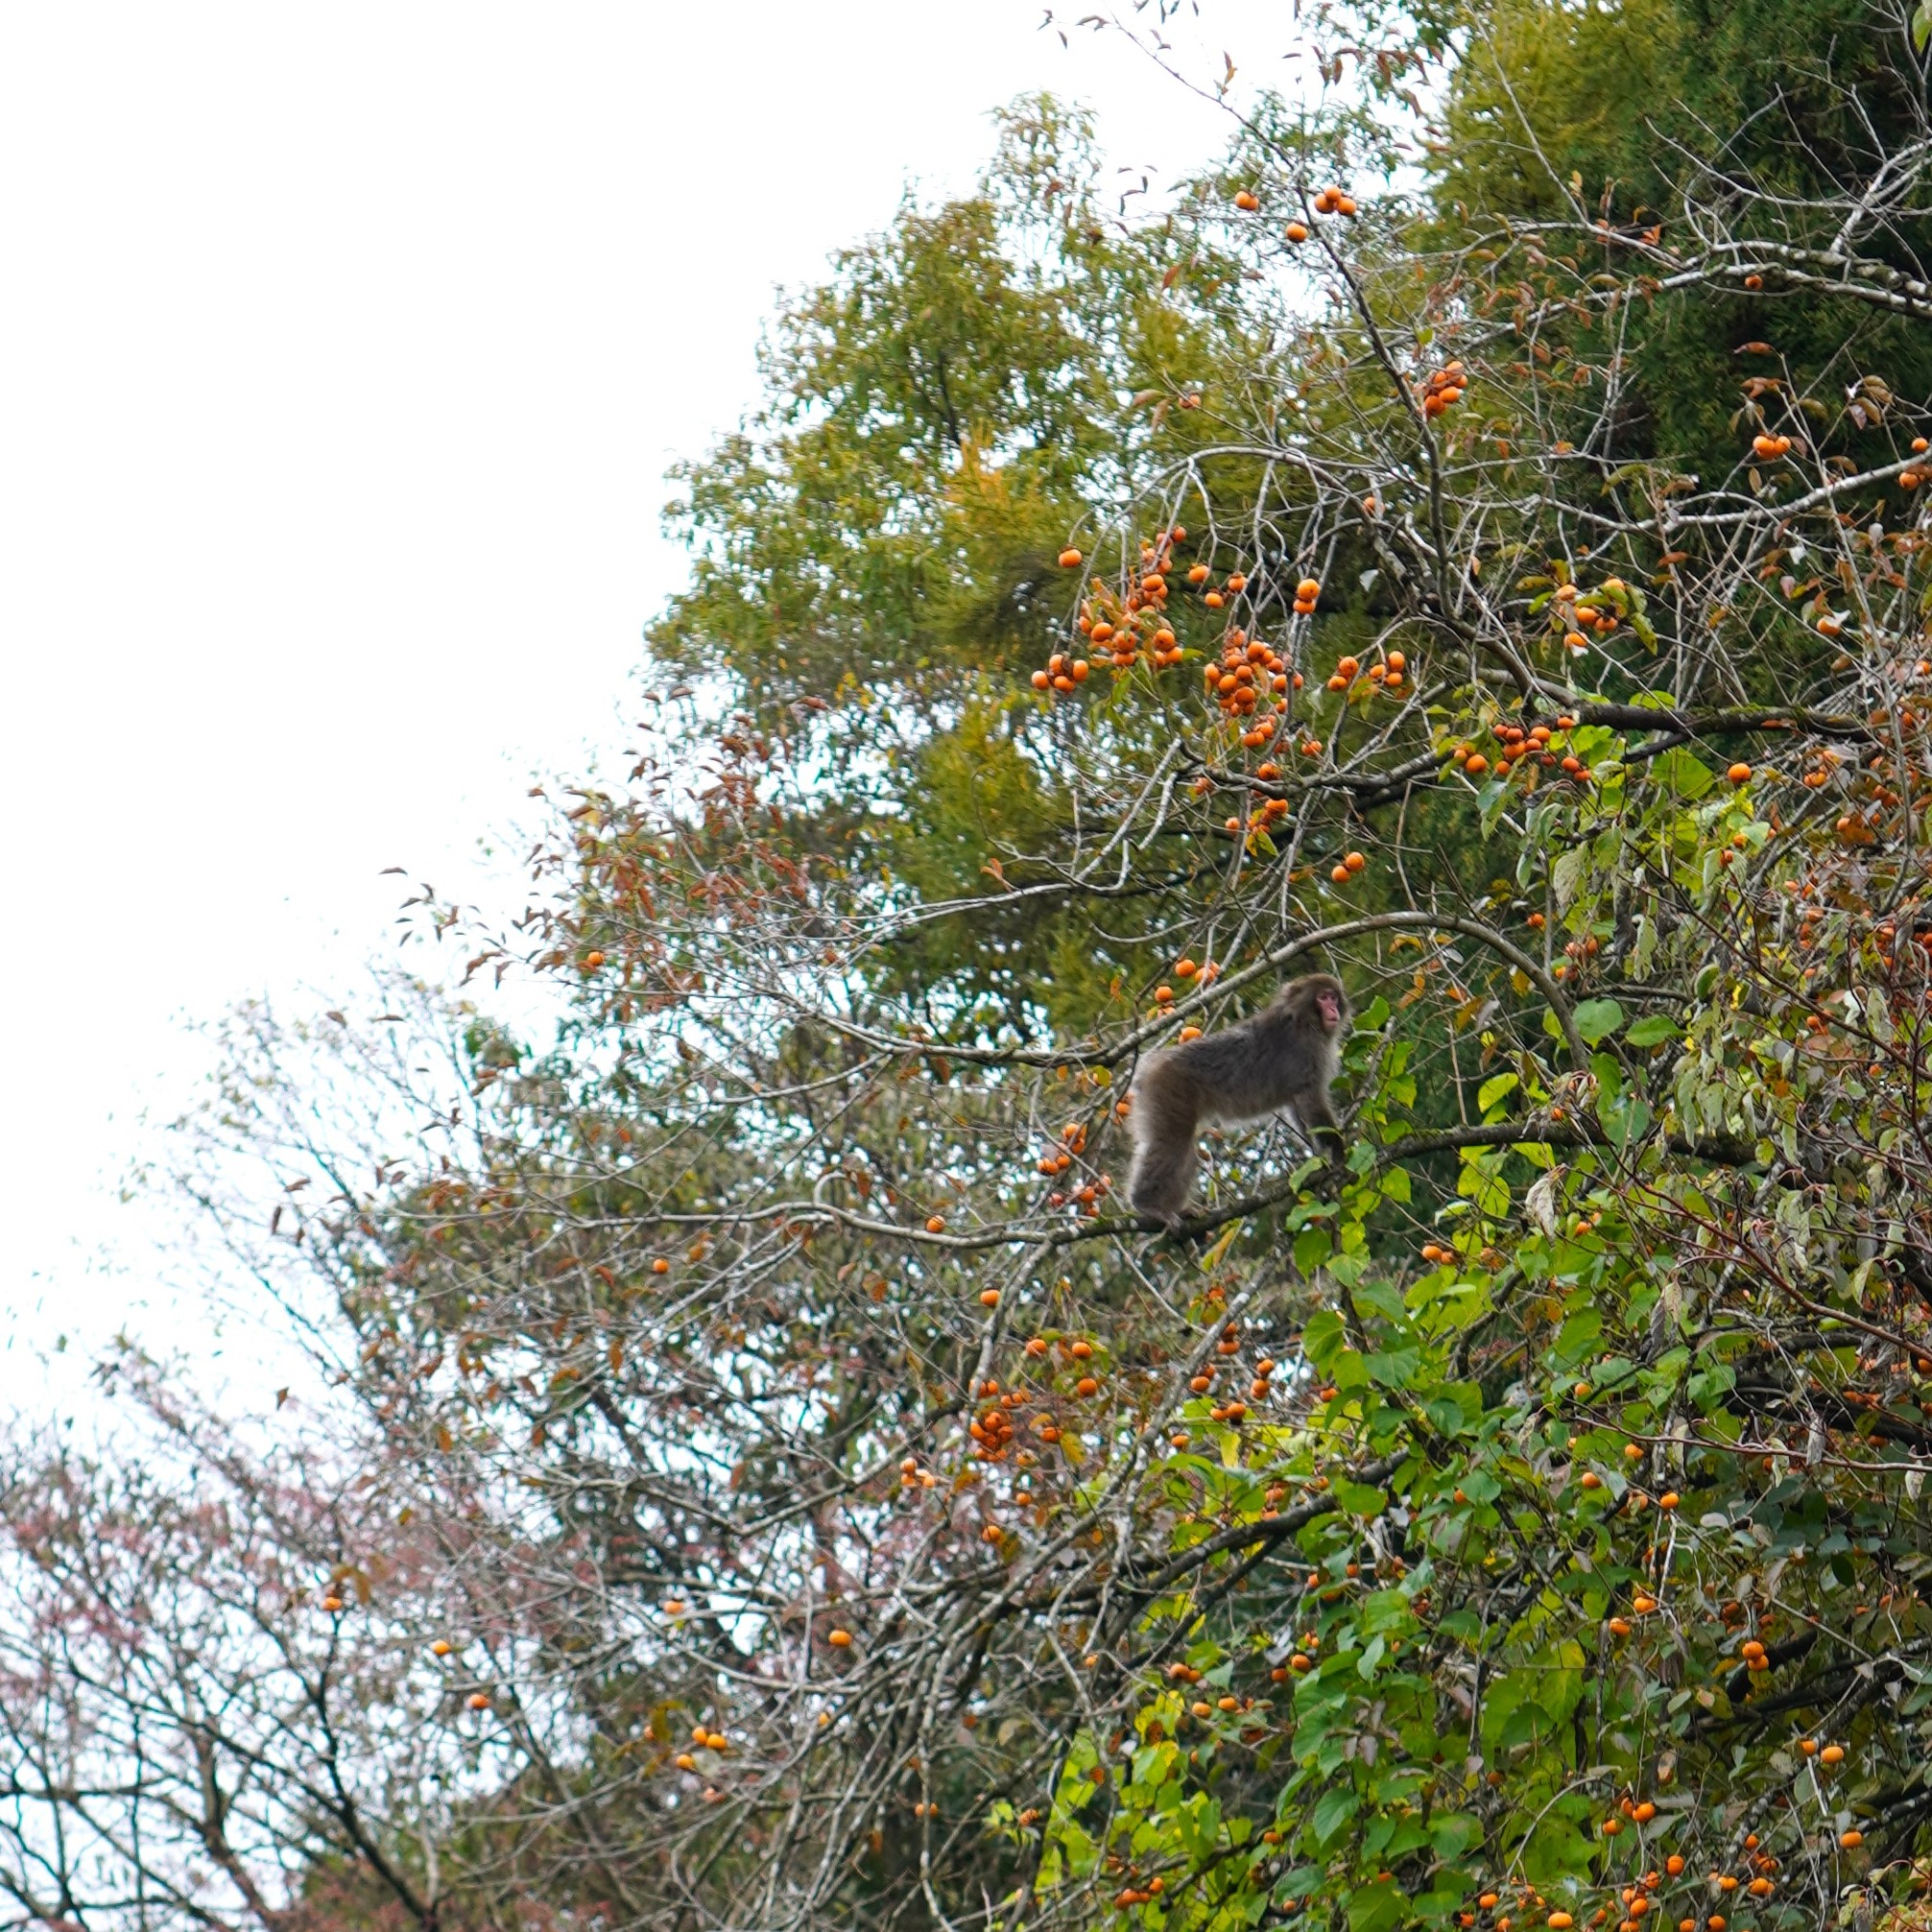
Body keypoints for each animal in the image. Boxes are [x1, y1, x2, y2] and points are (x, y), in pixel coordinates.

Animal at [1128, 973, 1352, 1228]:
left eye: (1334, 997)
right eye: (1323, 997)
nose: (1333, 1008)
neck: (1305, 1020)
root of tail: (1151, 1066)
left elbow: (1298, 1108)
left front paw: (1319, 1158)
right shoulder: (1308, 1052)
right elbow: (1311, 1103)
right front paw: (1337, 1152)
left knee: (1184, 1150)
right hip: (1168, 1088)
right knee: (1172, 1143)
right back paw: (1148, 1206)